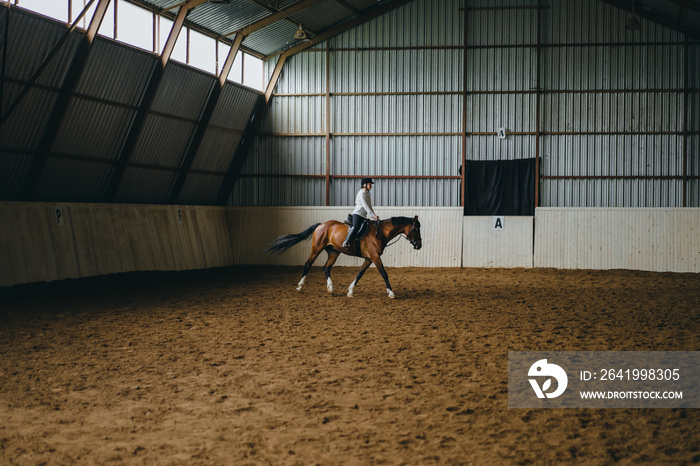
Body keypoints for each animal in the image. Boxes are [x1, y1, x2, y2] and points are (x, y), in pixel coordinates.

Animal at [266, 216, 422, 298]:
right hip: (317, 248)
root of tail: (322, 224)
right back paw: (300, 286)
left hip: (334, 252)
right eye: (416, 229)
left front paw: (350, 291)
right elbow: (384, 273)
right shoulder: (375, 257)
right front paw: (391, 293)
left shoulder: (369, 258)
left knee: (326, 267)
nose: (419, 245)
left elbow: (360, 273)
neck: (380, 232)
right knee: (308, 264)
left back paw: (330, 288)